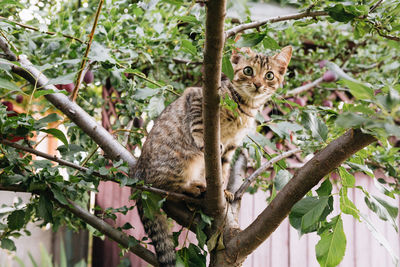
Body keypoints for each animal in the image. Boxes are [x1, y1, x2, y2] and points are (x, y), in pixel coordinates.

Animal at [131, 46, 290, 267]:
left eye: (269, 75)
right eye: (248, 71)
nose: (258, 84)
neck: (246, 108)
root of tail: (137, 173)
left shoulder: (231, 145)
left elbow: (223, 168)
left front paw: (223, 190)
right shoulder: (197, 96)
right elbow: (198, 123)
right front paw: (201, 140)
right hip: (177, 163)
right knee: (163, 185)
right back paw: (193, 188)